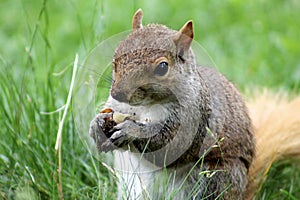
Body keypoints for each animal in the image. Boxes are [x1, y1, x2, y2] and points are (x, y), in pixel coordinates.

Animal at [88, 8, 300, 199]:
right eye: (116, 56)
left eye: (162, 67)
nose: (119, 93)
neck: (144, 107)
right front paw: (97, 125)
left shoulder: (194, 118)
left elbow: (169, 146)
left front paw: (131, 131)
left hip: (215, 178)